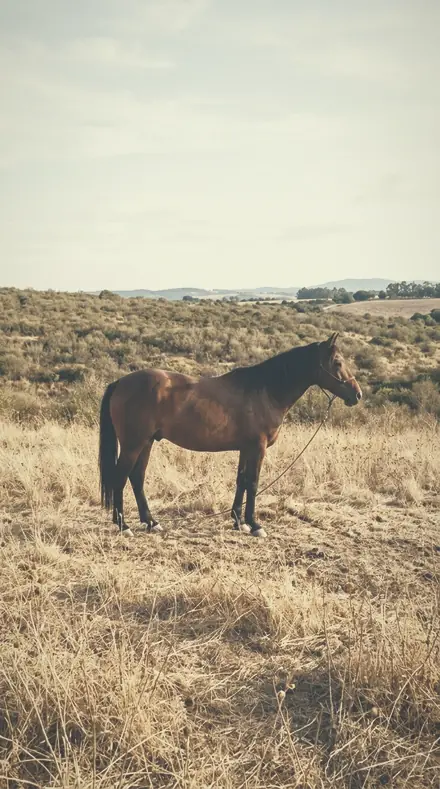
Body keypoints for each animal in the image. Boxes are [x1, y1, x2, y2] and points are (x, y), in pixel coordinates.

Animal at [99, 332, 362, 538]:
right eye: (337, 362)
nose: (357, 395)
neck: (265, 391)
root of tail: (120, 382)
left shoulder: (246, 448)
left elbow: (241, 481)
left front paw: (238, 522)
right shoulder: (258, 448)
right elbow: (253, 483)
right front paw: (255, 525)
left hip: (146, 443)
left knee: (137, 478)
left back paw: (151, 522)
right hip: (133, 445)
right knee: (120, 478)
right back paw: (124, 525)